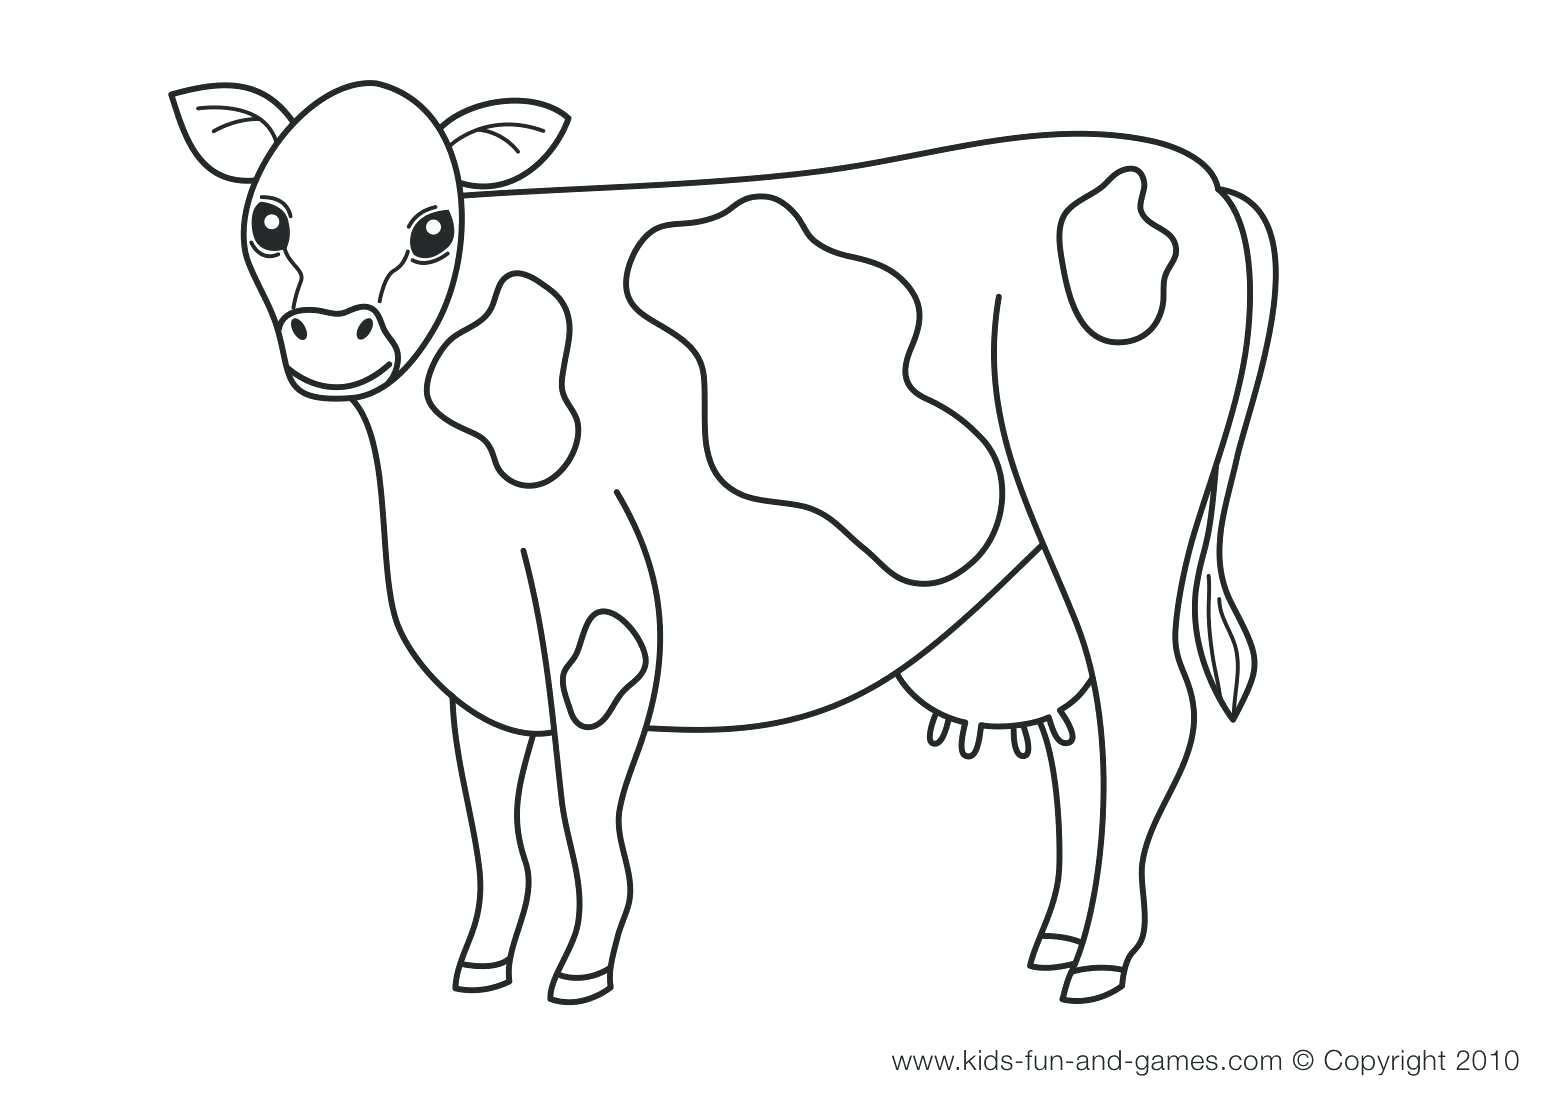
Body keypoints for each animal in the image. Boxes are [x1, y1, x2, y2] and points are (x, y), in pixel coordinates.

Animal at [169, 80, 1276, 1005]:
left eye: (432, 228)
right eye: (269, 220)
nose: (333, 334)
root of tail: (1198, 180)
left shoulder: (602, 614)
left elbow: (582, 811)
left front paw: (582, 966)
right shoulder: (477, 641)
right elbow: (491, 820)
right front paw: (482, 962)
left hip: (1114, 511)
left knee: (1149, 710)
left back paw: (1099, 958)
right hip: (1041, 569)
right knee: (1083, 737)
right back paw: (1057, 936)